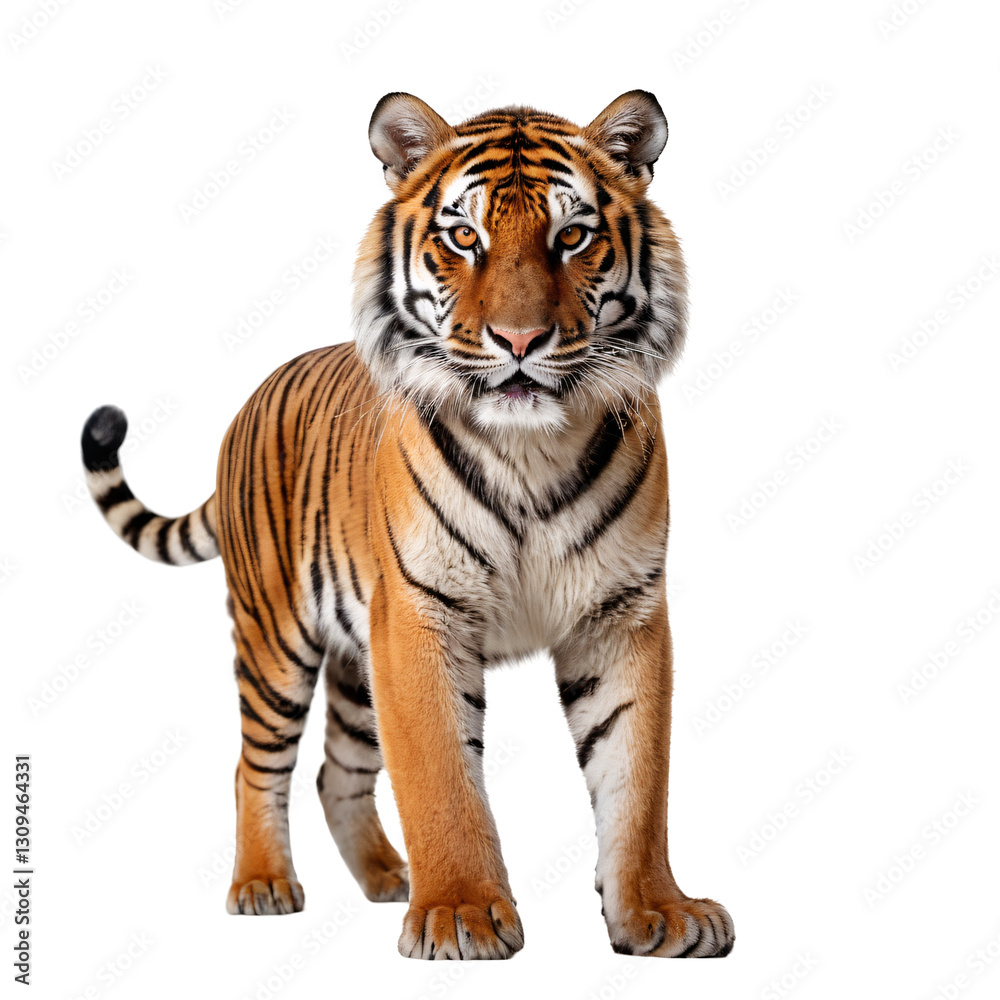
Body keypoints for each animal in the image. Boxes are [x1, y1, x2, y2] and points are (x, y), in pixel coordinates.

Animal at [80, 90, 734, 960]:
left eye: (572, 237)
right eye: (464, 237)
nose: (520, 341)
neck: (532, 449)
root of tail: (254, 395)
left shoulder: (620, 614)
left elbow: (638, 779)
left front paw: (658, 913)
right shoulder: (420, 617)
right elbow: (440, 777)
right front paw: (460, 912)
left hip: (357, 660)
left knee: (338, 771)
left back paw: (387, 876)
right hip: (274, 637)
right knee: (256, 765)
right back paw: (263, 884)